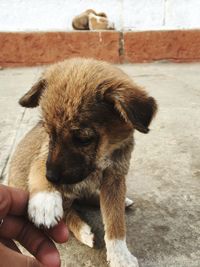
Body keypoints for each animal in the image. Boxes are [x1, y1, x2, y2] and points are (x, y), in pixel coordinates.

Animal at [8, 57, 157, 266]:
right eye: (49, 133)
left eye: (83, 139)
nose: (51, 177)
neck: (103, 156)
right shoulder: (43, 155)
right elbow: (38, 169)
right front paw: (45, 200)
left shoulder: (115, 178)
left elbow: (115, 219)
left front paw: (120, 254)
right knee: (68, 212)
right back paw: (83, 231)